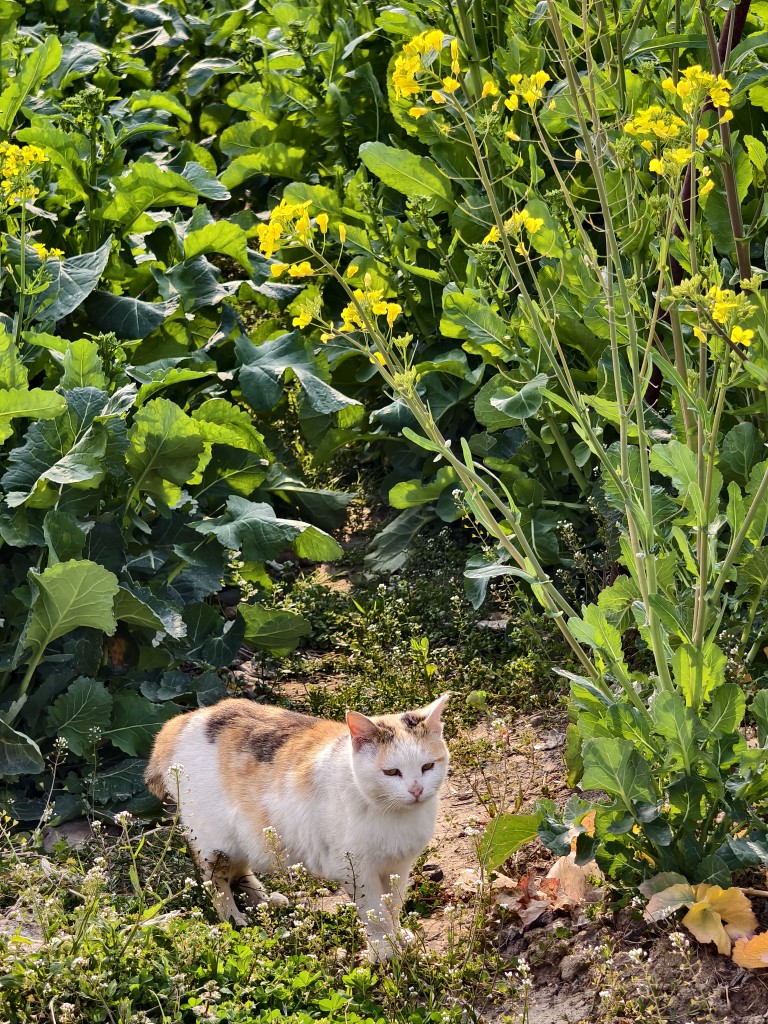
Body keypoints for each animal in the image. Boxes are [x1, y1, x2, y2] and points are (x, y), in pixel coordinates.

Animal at [144, 693, 450, 959]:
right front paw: (385, 949)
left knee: (240, 870)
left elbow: (393, 905)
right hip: (216, 844)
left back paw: (266, 902)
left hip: (247, 836)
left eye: (427, 767)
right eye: (391, 772)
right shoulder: (357, 870)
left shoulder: (399, 866)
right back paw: (234, 918)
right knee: (215, 881)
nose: (416, 790)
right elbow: (375, 912)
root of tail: (183, 720)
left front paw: (398, 937)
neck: (394, 814)